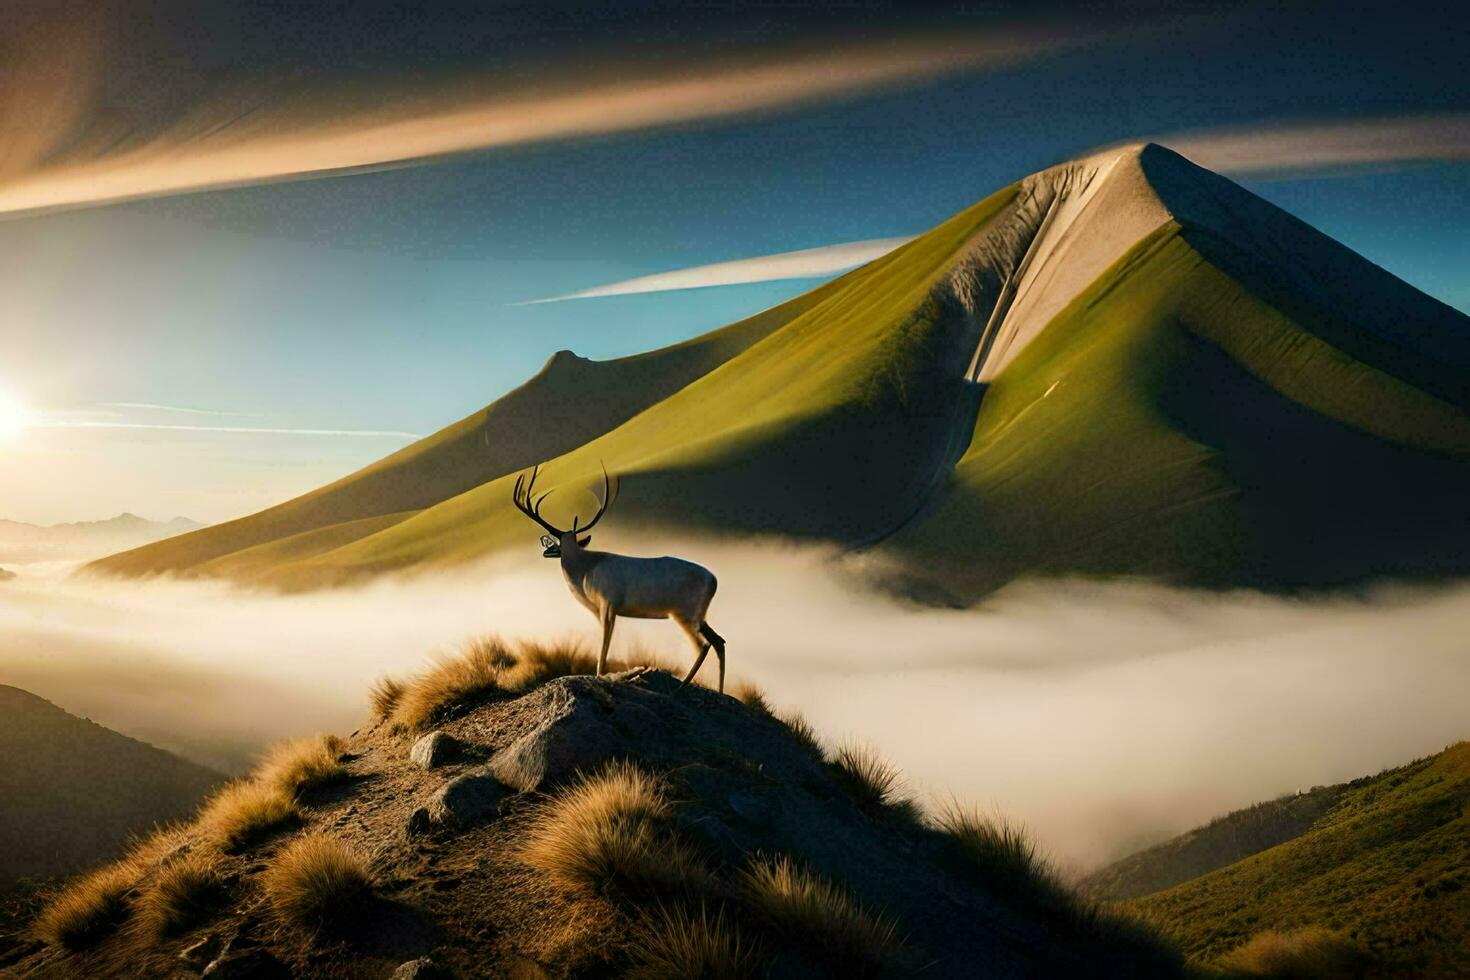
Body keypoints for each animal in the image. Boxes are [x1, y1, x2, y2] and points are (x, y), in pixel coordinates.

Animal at [511, 464, 729, 693]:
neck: (586, 568)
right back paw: (719, 691)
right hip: (699, 617)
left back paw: (678, 689)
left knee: (703, 645)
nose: (547, 554)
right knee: (719, 642)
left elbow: (603, 648)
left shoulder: (608, 604)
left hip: (683, 614)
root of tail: (713, 581)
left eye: (556, 545)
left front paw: (602, 677)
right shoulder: (602, 610)